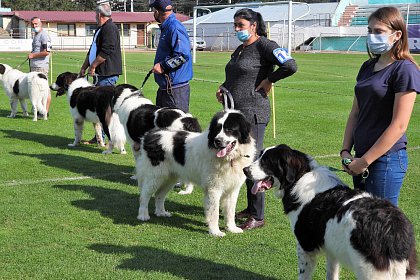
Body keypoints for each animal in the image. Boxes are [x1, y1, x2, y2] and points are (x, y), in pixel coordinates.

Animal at [243, 144, 416, 280]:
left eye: (266, 161)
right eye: (260, 156)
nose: (244, 170)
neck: (299, 178)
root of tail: (394, 227)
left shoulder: (305, 246)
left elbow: (303, 274)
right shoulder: (332, 247)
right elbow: (331, 273)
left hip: (371, 272)